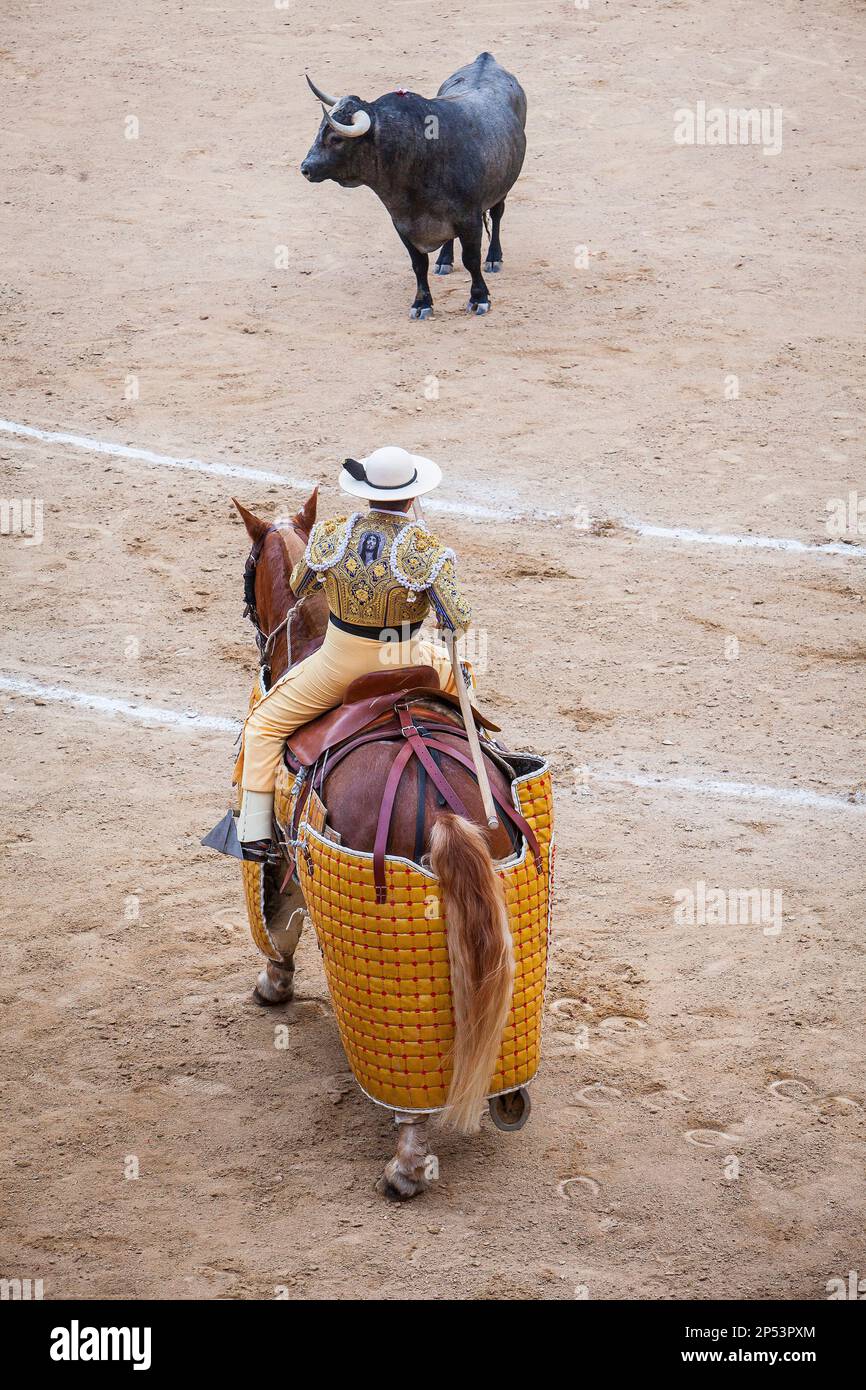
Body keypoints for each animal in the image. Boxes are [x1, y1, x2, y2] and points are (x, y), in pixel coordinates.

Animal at [233, 489, 536, 1195]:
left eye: (246, 571)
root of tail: (441, 798)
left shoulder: (284, 853)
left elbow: (280, 918)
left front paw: (273, 985)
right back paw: (505, 1100)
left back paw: (405, 1166)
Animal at [297, 52, 528, 318]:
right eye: (320, 130)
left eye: (336, 139)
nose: (306, 168)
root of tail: (485, 58)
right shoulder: (402, 223)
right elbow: (419, 264)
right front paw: (422, 303)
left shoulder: (469, 219)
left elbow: (471, 259)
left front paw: (479, 298)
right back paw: (444, 260)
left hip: (502, 188)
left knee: (497, 214)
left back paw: (493, 258)